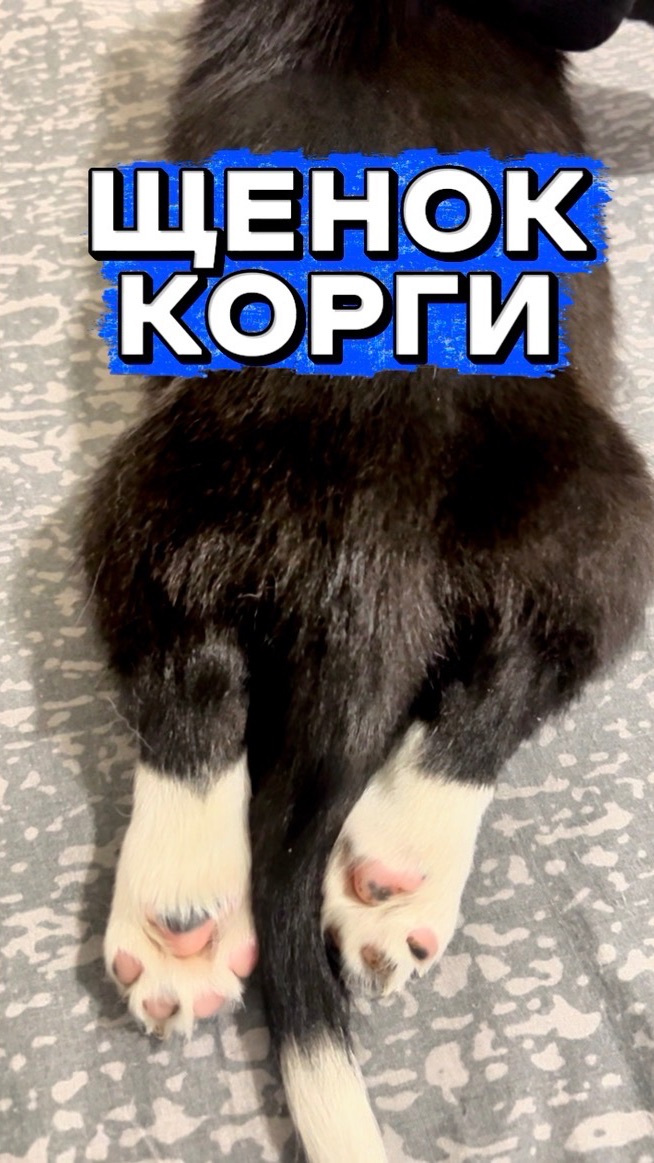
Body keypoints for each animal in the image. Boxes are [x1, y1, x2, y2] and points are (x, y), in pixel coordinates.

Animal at [82, 2, 654, 1159]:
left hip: (168, 490)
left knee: (193, 675)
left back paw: (187, 915)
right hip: (617, 509)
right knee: (493, 686)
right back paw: (385, 868)